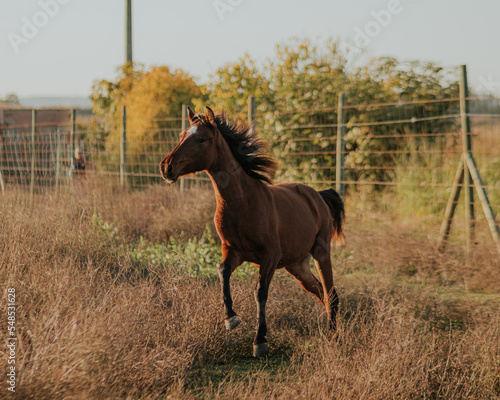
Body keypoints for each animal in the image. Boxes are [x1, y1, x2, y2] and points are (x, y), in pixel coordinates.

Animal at [160, 106, 344, 356]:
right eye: (181, 136)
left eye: (201, 139)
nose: (166, 167)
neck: (242, 203)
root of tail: (318, 195)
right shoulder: (233, 251)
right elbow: (222, 272)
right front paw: (230, 319)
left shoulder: (270, 256)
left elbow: (260, 293)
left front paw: (260, 341)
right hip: (296, 266)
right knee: (320, 291)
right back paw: (335, 331)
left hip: (321, 251)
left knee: (330, 292)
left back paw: (333, 336)